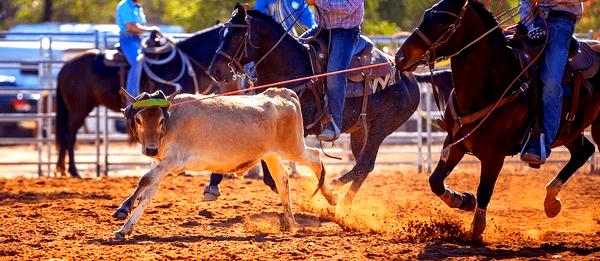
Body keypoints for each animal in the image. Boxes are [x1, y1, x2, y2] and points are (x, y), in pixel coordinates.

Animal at [54, 24, 237, 177]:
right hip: (78, 108)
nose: (221, 74)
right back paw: (73, 171)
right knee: (69, 135)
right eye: (229, 38)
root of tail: (65, 66)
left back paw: (62, 170)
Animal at [396, 0, 600, 241]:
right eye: (427, 14)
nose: (400, 58)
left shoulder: (494, 155)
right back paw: (551, 202)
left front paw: (477, 229)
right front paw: (463, 200)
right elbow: (435, 181)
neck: (493, 82)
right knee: (584, 151)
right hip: (569, 131)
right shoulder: (455, 142)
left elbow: (485, 190)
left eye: (442, 21)